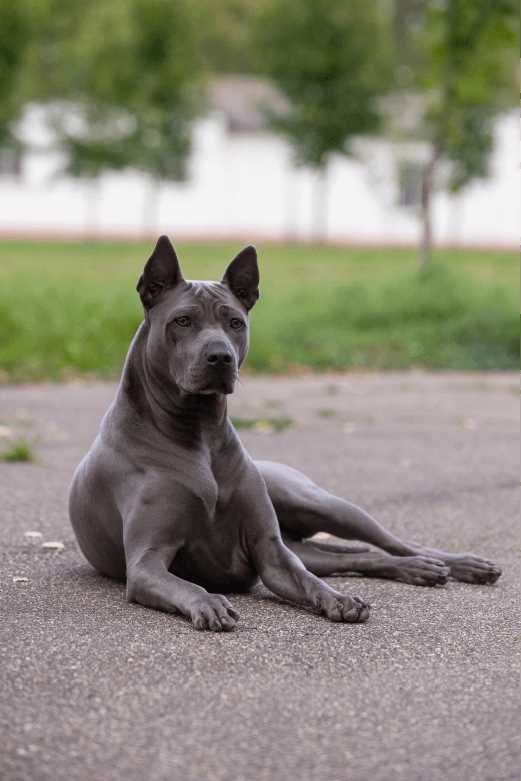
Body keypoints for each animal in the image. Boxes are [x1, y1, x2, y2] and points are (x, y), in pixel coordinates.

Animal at [69, 236, 500, 628]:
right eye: (182, 321)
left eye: (235, 322)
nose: (220, 357)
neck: (199, 433)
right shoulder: (147, 563)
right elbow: (188, 585)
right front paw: (209, 602)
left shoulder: (271, 553)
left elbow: (308, 582)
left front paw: (338, 599)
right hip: (310, 543)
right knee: (359, 555)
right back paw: (419, 568)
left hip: (321, 504)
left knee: (390, 541)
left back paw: (458, 564)